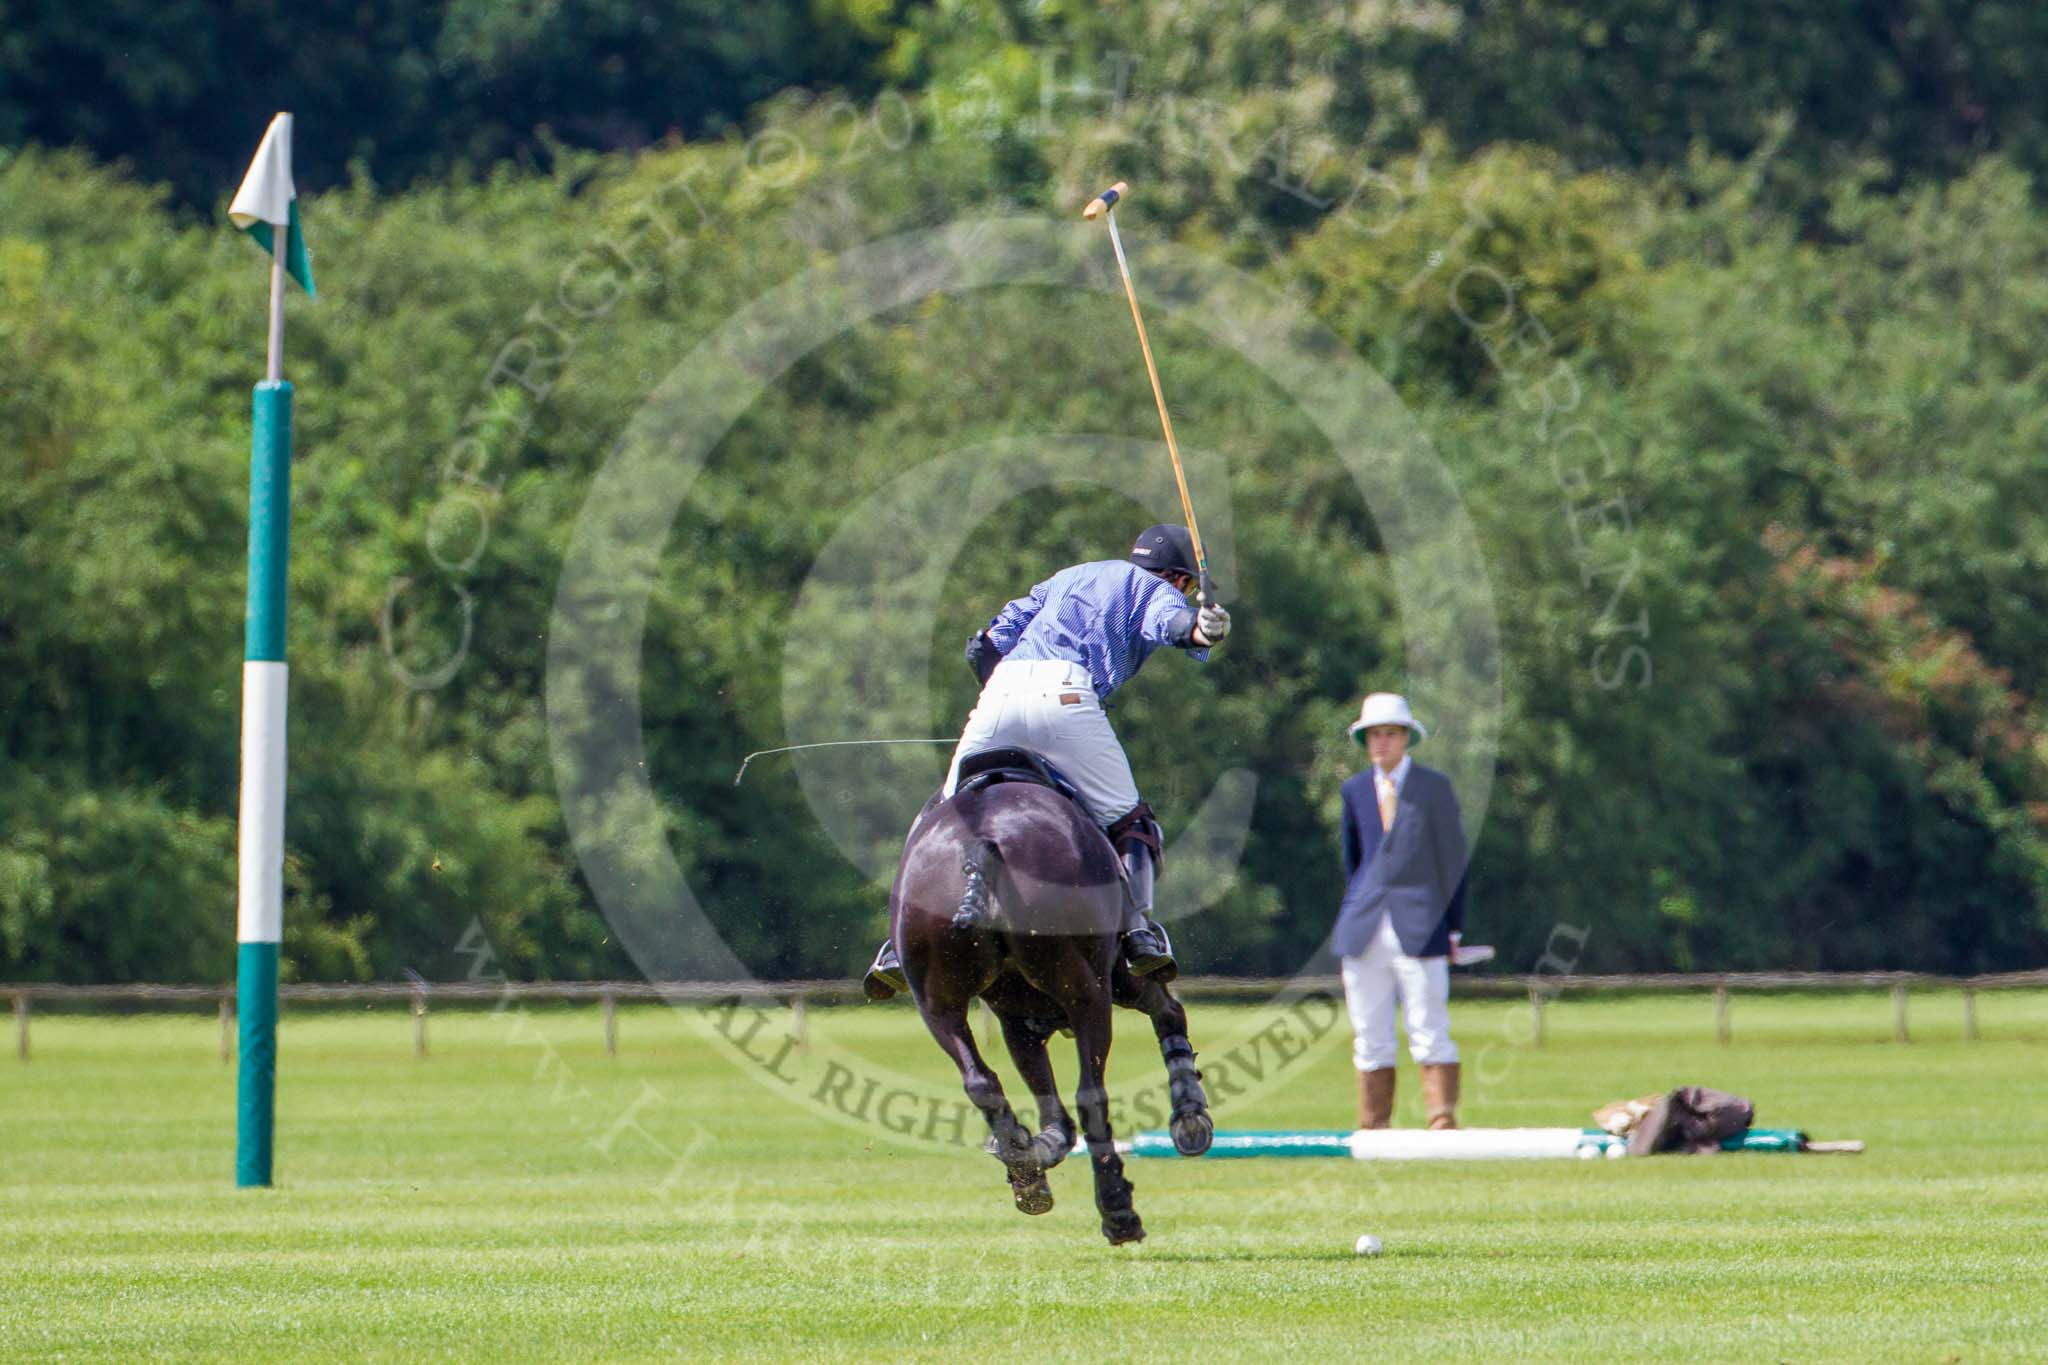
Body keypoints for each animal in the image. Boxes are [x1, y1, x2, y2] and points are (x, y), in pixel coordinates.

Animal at [888, 757, 1204, 1252]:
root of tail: (983, 846)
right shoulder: (1115, 981)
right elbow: (1166, 1010)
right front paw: (1190, 1115)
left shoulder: (1015, 1018)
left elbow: (1046, 1106)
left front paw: (1031, 1148)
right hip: (1089, 991)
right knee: (1091, 1093)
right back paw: (1117, 1210)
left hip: (936, 1000)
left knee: (980, 1080)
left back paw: (1025, 1171)